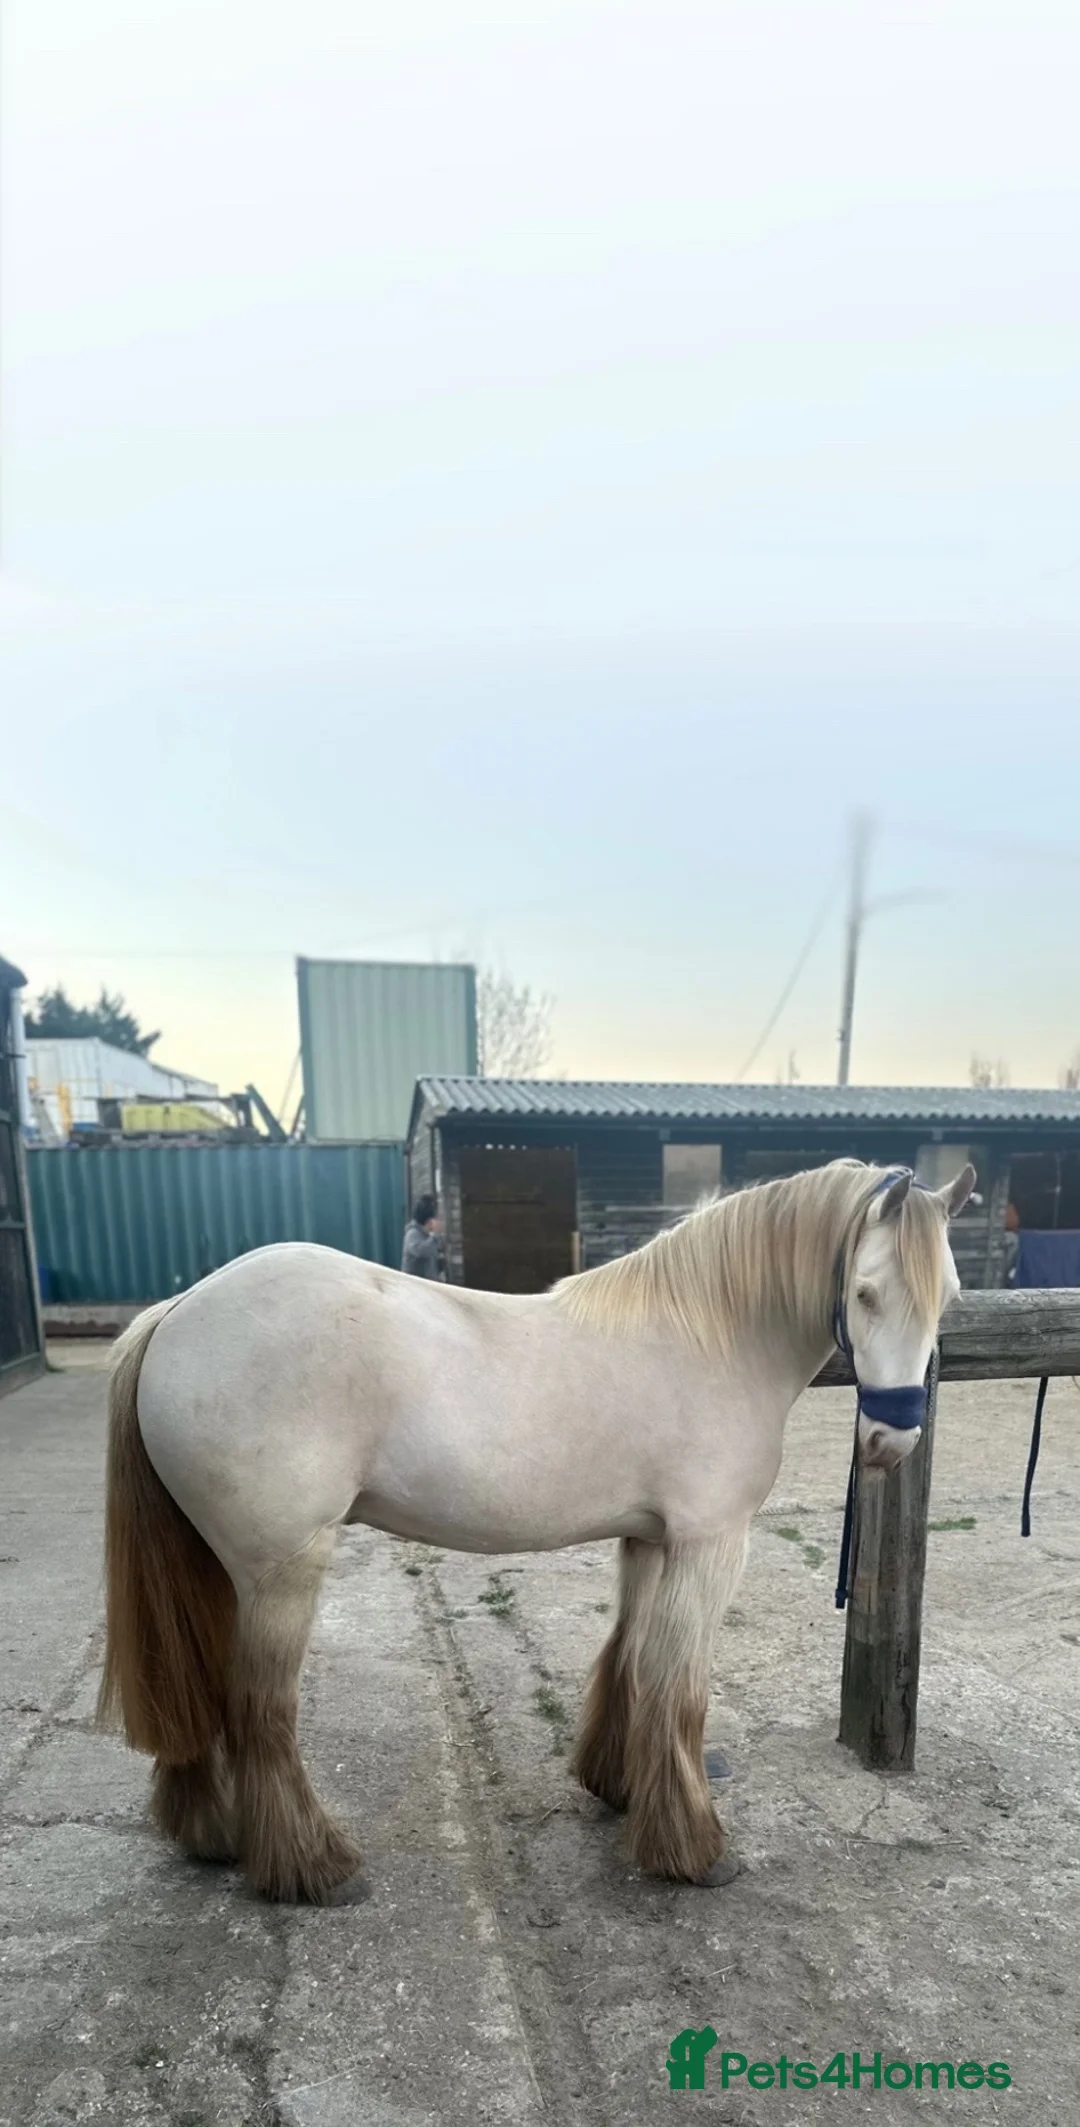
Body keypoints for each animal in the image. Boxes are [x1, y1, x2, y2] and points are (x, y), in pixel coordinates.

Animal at [97, 1155, 974, 1901]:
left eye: (951, 1295)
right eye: (866, 1293)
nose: (890, 1441)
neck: (711, 1333)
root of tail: (177, 1312)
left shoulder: (650, 1539)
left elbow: (631, 1663)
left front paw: (618, 1787)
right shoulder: (709, 1543)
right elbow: (681, 1691)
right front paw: (693, 1850)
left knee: (199, 1691)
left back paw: (210, 1832)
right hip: (281, 1571)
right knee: (261, 1712)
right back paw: (313, 1867)